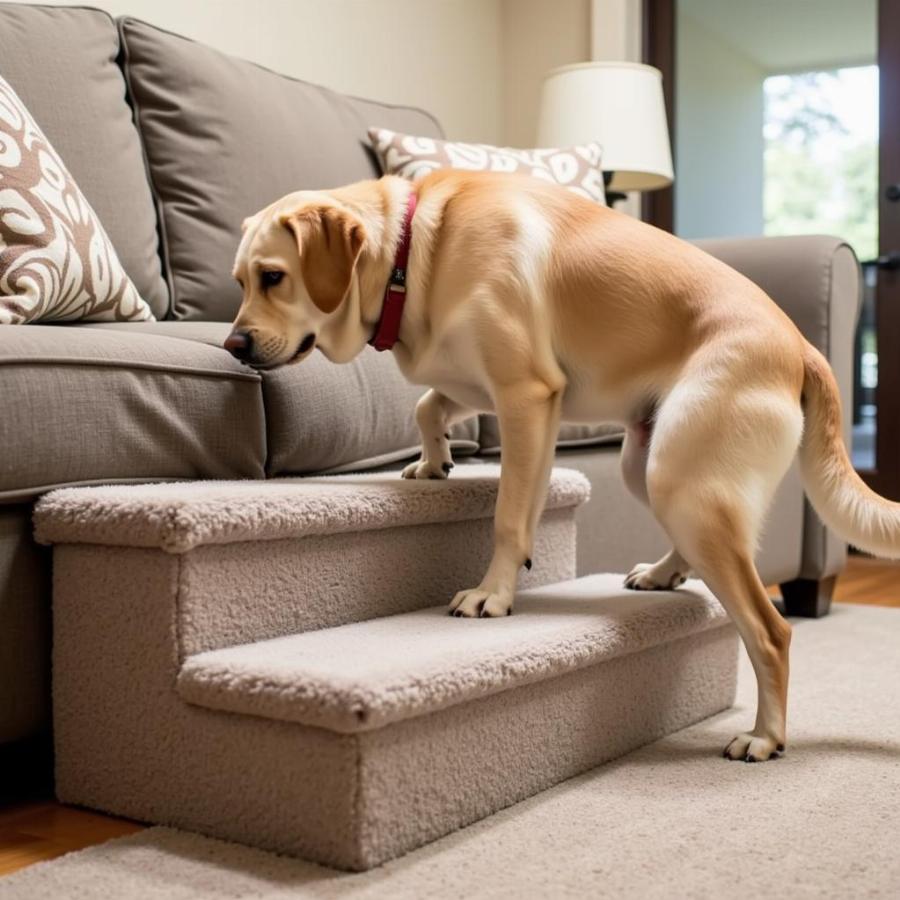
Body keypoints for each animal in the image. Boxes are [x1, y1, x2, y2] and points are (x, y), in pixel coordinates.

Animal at [227, 169, 900, 760]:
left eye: (273, 277)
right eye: (239, 283)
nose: (233, 345)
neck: (414, 252)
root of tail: (803, 347)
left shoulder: (525, 393)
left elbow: (508, 516)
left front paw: (492, 594)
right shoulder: (483, 388)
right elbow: (429, 407)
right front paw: (434, 462)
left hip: (681, 474)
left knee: (770, 631)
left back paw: (765, 737)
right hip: (648, 465)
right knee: (698, 551)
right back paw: (664, 573)